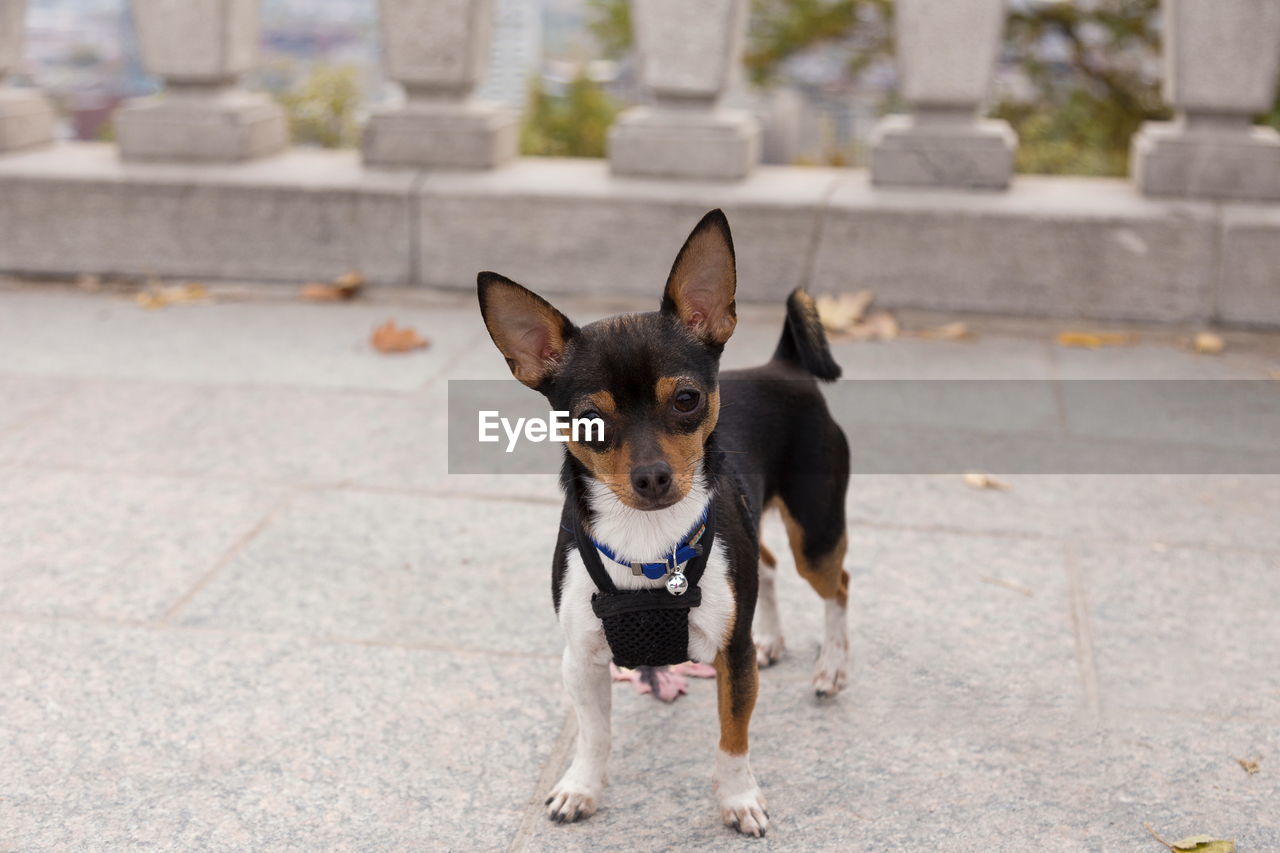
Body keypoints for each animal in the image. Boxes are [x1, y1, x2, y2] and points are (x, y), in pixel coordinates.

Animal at [478, 208, 849, 835]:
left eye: (686, 400)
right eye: (590, 421)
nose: (651, 476)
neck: (649, 544)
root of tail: (783, 363)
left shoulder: (731, 657)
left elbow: (733, 735)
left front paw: (738, 798)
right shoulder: (582, 659)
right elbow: (595, 734)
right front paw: (581, 786)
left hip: (816, 532)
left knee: (836, 585)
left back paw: (831, 668)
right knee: (770, 566)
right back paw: (774, 639)